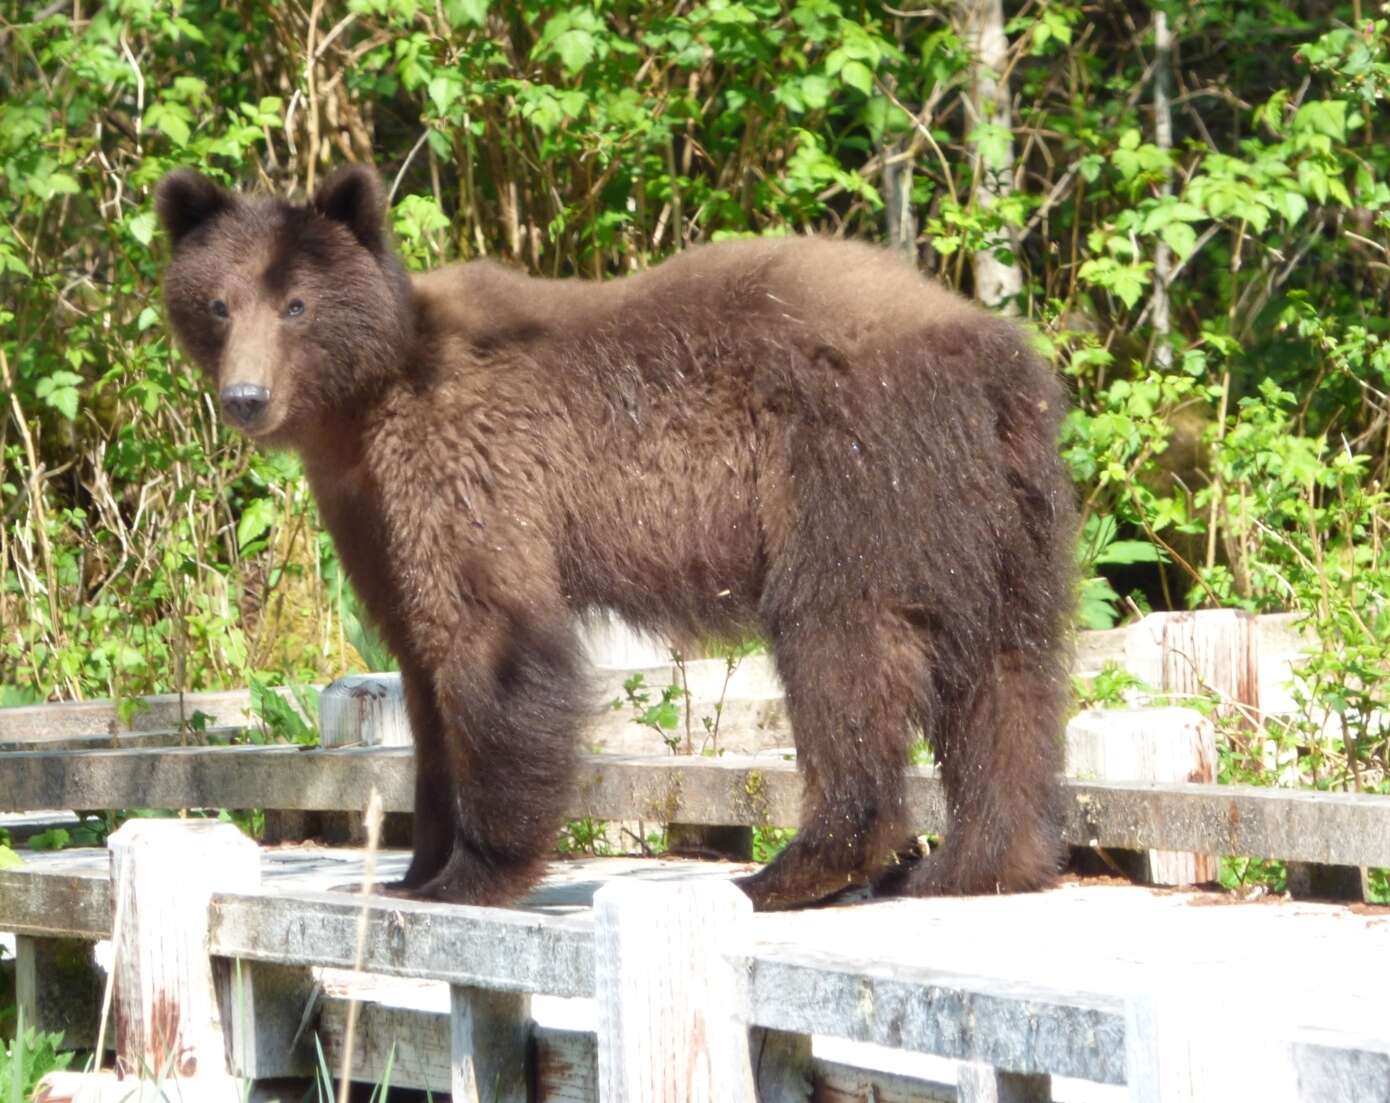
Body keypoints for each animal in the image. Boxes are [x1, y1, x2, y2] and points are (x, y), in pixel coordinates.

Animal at [159, 161, 1073, 900]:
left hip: (853, 471)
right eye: (218, 303)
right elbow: (417, 660)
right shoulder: (368, 507)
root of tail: (989, 348)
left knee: (842, 643)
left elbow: (490, 632)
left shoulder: (467, 461)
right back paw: (977, 863)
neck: (360, 406)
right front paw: (414, 866)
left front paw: (474, 872)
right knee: (1006, 674)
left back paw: (794, 869)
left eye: (296, 304)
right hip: (995, 509)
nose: (246, 397)